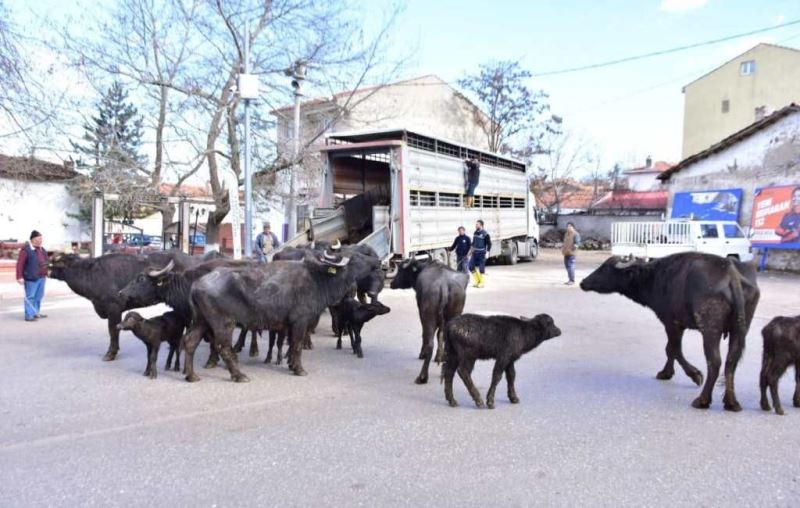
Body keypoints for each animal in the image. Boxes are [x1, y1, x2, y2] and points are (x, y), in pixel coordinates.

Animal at [48, 250, 195, 362]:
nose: (45, 270)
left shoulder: (114, 309)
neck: (90, 274)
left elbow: (113, 330)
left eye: (53, 263)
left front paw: (110, 353)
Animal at [183, 246, 382, 380]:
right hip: (224, 323)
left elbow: (290, 346)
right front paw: (299, 369)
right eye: (357, 257)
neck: (317, 279)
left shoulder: (289, 325)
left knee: (190, 342)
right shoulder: (300, 322)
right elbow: (297, 345)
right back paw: (239, 375)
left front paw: (291, 365)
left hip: (202, 321)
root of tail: (197, 283)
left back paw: (192, 375)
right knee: (223, 347)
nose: (378, 261)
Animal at [580, 252, 760, 410]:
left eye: (606, 269)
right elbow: (671, 350)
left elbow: (673, 349)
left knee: (715, 361)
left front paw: (694, 375)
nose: (582, 282)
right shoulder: (677, 325)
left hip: (710, 329)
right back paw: (731, 402)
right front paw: (667, 373)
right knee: (731, 361)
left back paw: (702, 400)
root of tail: (731, 273)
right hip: (740, 329)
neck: (654, 277)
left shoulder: (671, 323)